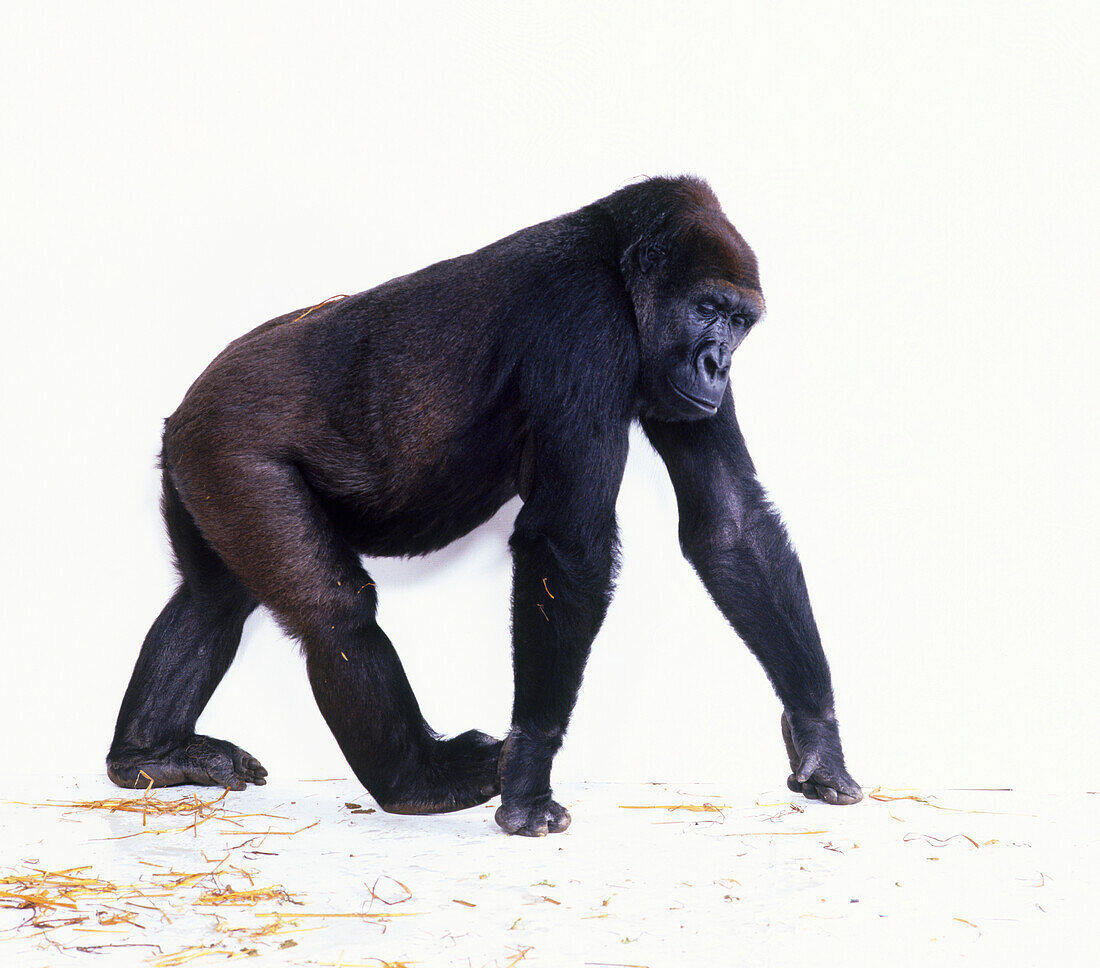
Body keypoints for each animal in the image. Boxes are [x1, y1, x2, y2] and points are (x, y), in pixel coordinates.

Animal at [107, 178, 858, 836]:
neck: (616, 263)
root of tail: (185, 410)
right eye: (706, 310)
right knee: (334, 613)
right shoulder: (585, 325)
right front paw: (529, 773)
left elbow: (730, 524)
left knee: (211, 599)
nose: (716, 365)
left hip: (195, 466)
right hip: (227, 447)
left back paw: (150, 754)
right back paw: (417, 783)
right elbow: (568, 547)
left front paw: (818, 734)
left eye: (738, 322)